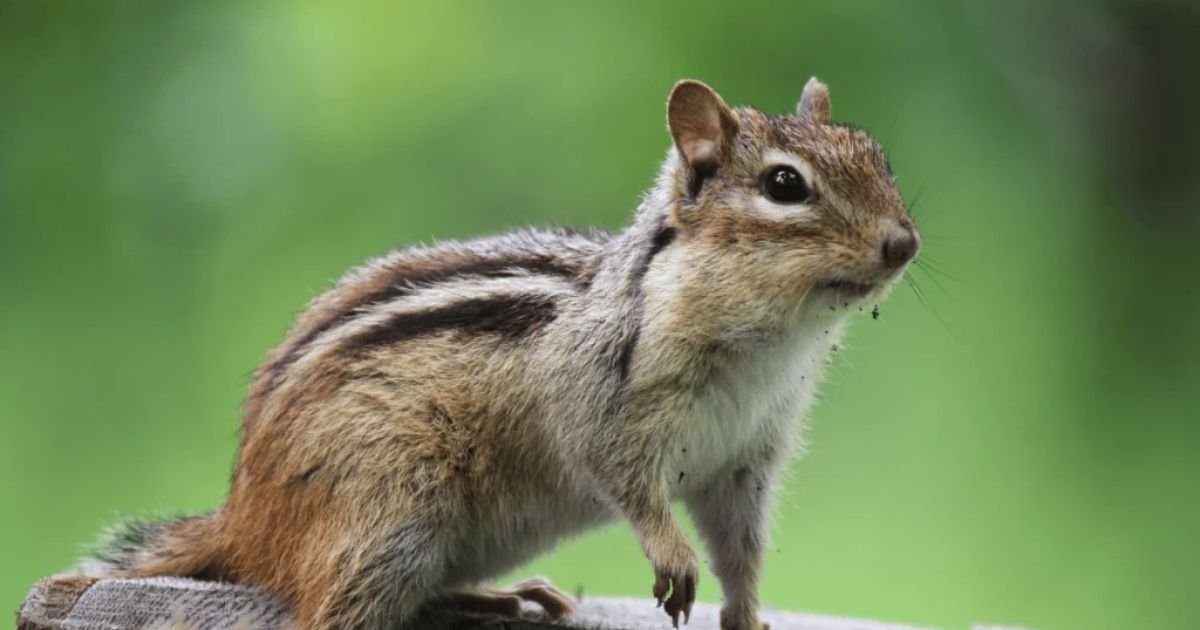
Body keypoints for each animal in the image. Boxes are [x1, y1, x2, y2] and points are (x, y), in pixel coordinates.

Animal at [80, 78, 919, 630]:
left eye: (878, 159)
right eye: (784, 184)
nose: (904, 243)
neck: (770, 342)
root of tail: (244, 521)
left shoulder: (747, 458)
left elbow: (741, 549)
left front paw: (746, 617)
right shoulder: (601, 403)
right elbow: (627, 481)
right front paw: (673, 557)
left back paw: (504, 596)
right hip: (391, 519)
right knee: (329, 612)